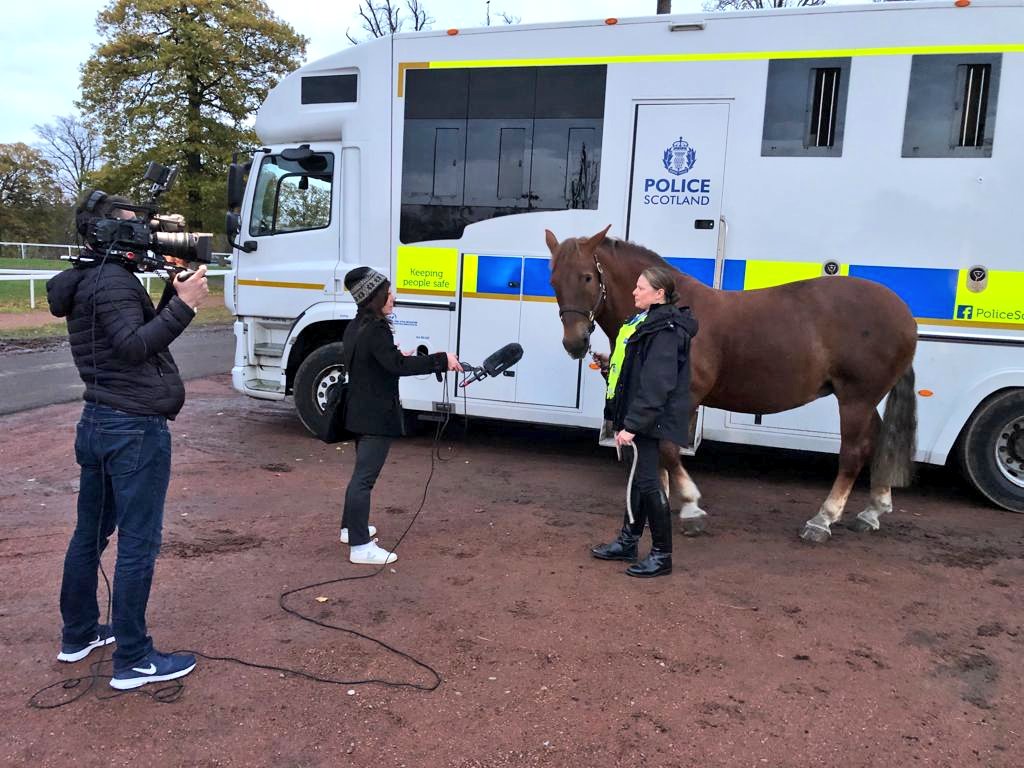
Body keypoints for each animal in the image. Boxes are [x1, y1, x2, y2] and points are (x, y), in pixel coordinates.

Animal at [545, 225, 918, 543]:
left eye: (588, 277)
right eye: (553, 281)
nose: (574, 342)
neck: (670, 316)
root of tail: (904, 314)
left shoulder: (685, 396)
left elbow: (668, 450)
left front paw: (691, 508)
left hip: (856, 398)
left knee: (854, 453)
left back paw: (822, 520)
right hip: (865, 399)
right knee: (879, 441)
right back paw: (872, 512)